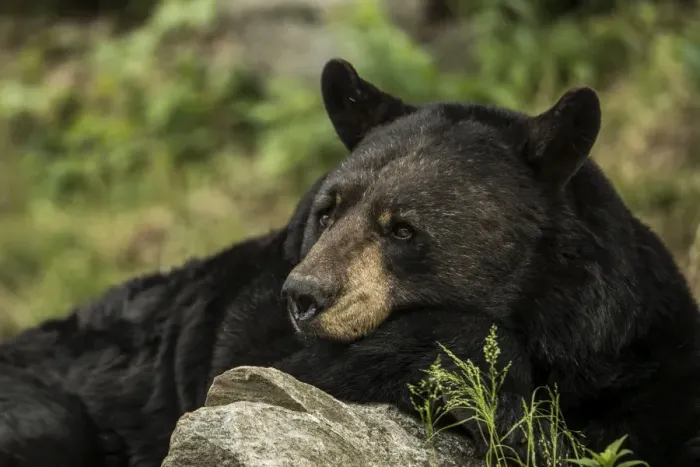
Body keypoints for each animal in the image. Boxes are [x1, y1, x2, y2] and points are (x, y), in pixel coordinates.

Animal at [0, 57, 699, 467]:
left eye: (403, 228)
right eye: (327, 211)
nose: (304, 296)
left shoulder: (644, 345)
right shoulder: (247, 337)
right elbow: (280, 375)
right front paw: (508, 406)